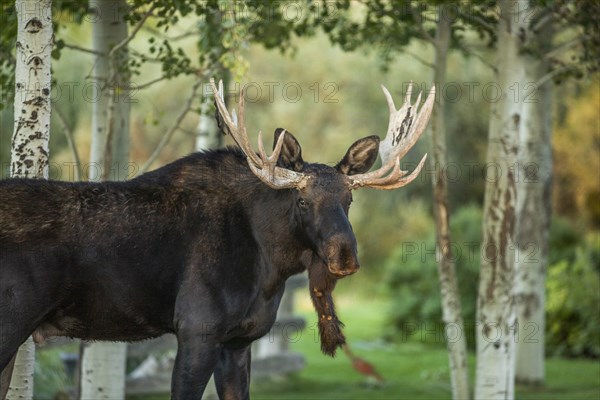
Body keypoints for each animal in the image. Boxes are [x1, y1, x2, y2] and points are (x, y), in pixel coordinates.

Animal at [0, 77, 434, 396]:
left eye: (349, 199)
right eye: (302, 199)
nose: (345, 256)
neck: (270, 268)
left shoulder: (239, 341)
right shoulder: (197, 329)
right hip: (10, 323)